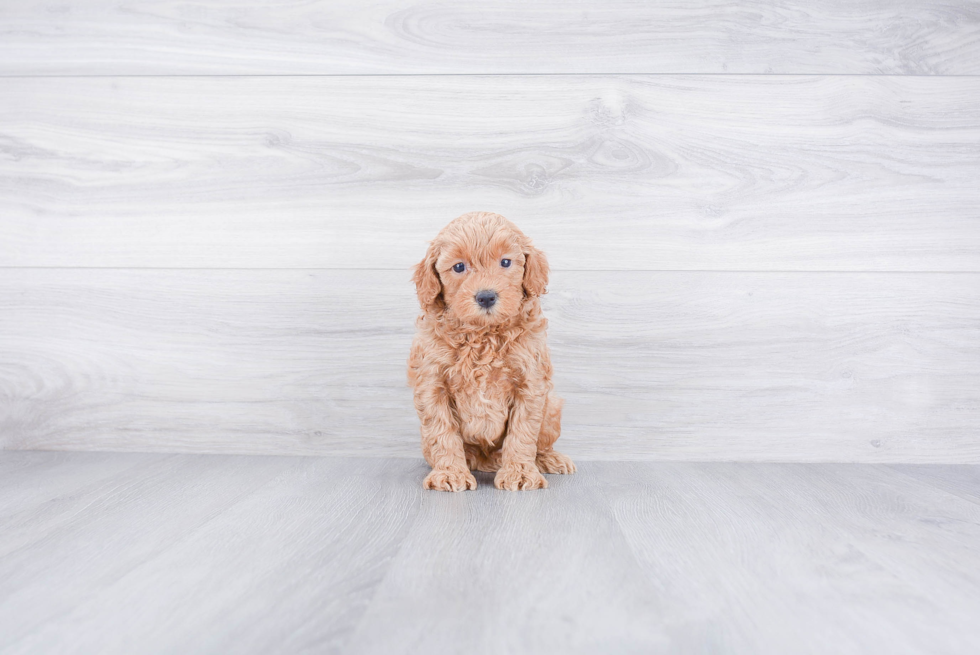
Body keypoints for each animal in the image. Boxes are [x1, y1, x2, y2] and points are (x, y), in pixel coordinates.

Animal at [406, 211, 576, 492]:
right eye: (459, 267)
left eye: (505, 262)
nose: (486, 297)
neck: (483, 334)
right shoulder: (432, 384)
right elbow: (442, 432)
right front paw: (450, 472)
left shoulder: (530, 383)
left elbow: (522, 432)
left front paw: (520, 473)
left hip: (551, 408)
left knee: (540, 444)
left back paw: (548, 459)